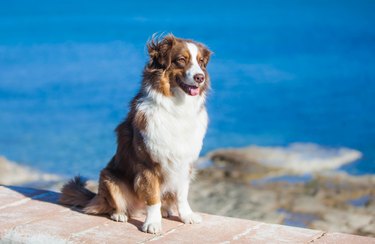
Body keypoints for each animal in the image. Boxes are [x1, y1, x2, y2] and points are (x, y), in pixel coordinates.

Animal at [58, 33, 212, 234]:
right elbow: (153, 197)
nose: (200, 77)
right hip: (109, 178)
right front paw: (152, 223)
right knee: (111, 205)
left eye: (201, 62)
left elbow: (182, 194)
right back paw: (120, 214)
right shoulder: (148, 165)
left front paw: (186, 216)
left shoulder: (185, 163)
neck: (176, 107)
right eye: (181, 60)